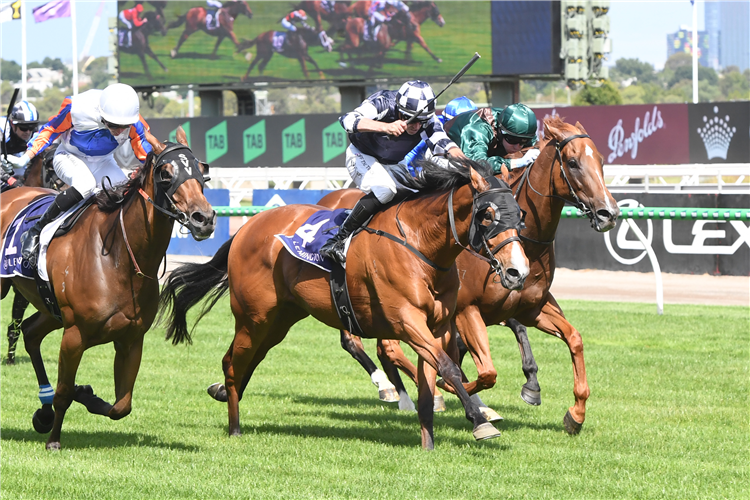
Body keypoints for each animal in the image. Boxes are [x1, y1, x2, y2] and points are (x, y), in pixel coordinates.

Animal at [0, 129, 217, 450]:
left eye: (202, 169)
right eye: (166, 173)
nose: (204, 218)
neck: (118, 258)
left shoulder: (131, 339)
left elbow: (121, 406)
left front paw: (84, 395)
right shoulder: (74, 335)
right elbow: (64, 392)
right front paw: (54, 440)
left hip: (50, 309)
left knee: (30, 332)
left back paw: (43, 410)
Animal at [162, 159, 532, 450]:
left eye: (520, 215)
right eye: (488, 216)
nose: (518, 272)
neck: (420, 244)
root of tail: (246, 227)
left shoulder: (437, 325)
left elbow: (435, 380)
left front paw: (429, 441)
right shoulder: (407, 320)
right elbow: (449, 368)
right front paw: (480, 422)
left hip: (279, 320)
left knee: (248, 361)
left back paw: (223, 394)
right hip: (254, 317)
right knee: (232, 362)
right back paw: (235, 427)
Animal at [320, 117, 620, 434]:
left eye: (601, 161)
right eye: (573, 162)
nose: (609, 213)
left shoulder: (531, 306)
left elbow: (573, 338)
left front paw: (574, 412)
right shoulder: (465, 310)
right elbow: (485, 371)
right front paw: (462, 394)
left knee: (383, 347)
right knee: (374, 345)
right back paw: (401, 389)